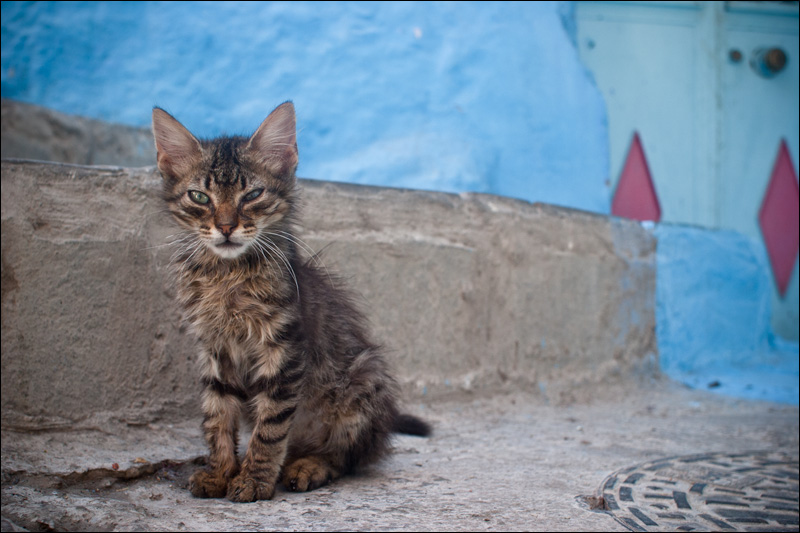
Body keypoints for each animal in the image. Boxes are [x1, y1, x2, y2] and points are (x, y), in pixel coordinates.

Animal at [155, 101, 432, 502]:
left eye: (252, 195)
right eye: (200, 198)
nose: (226, 227)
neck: (227, 276)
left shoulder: (284, 350)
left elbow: (270, 428)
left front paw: (254, 480)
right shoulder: (215, 350)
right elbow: (217, 417)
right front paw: (221, 471)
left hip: (361, 383)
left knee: (347, 457)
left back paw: (307, 466)